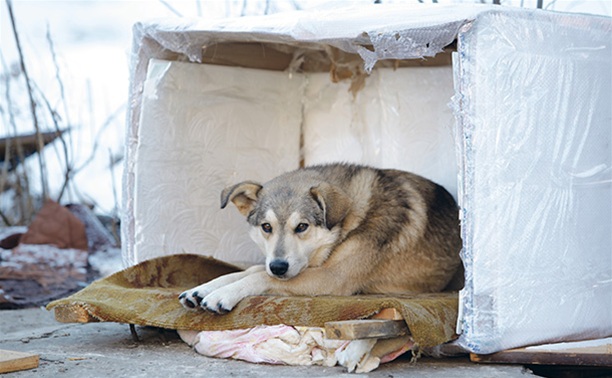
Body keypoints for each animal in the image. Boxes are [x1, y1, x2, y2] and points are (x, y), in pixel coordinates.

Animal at [179, 162, 462, 314]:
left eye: (302, 226)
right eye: (266, 227)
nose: (279, 267)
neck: (350, 220)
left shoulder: (332, 278)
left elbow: (261, 277)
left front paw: (223, 295)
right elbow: (251, 270)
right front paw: (203, 288)